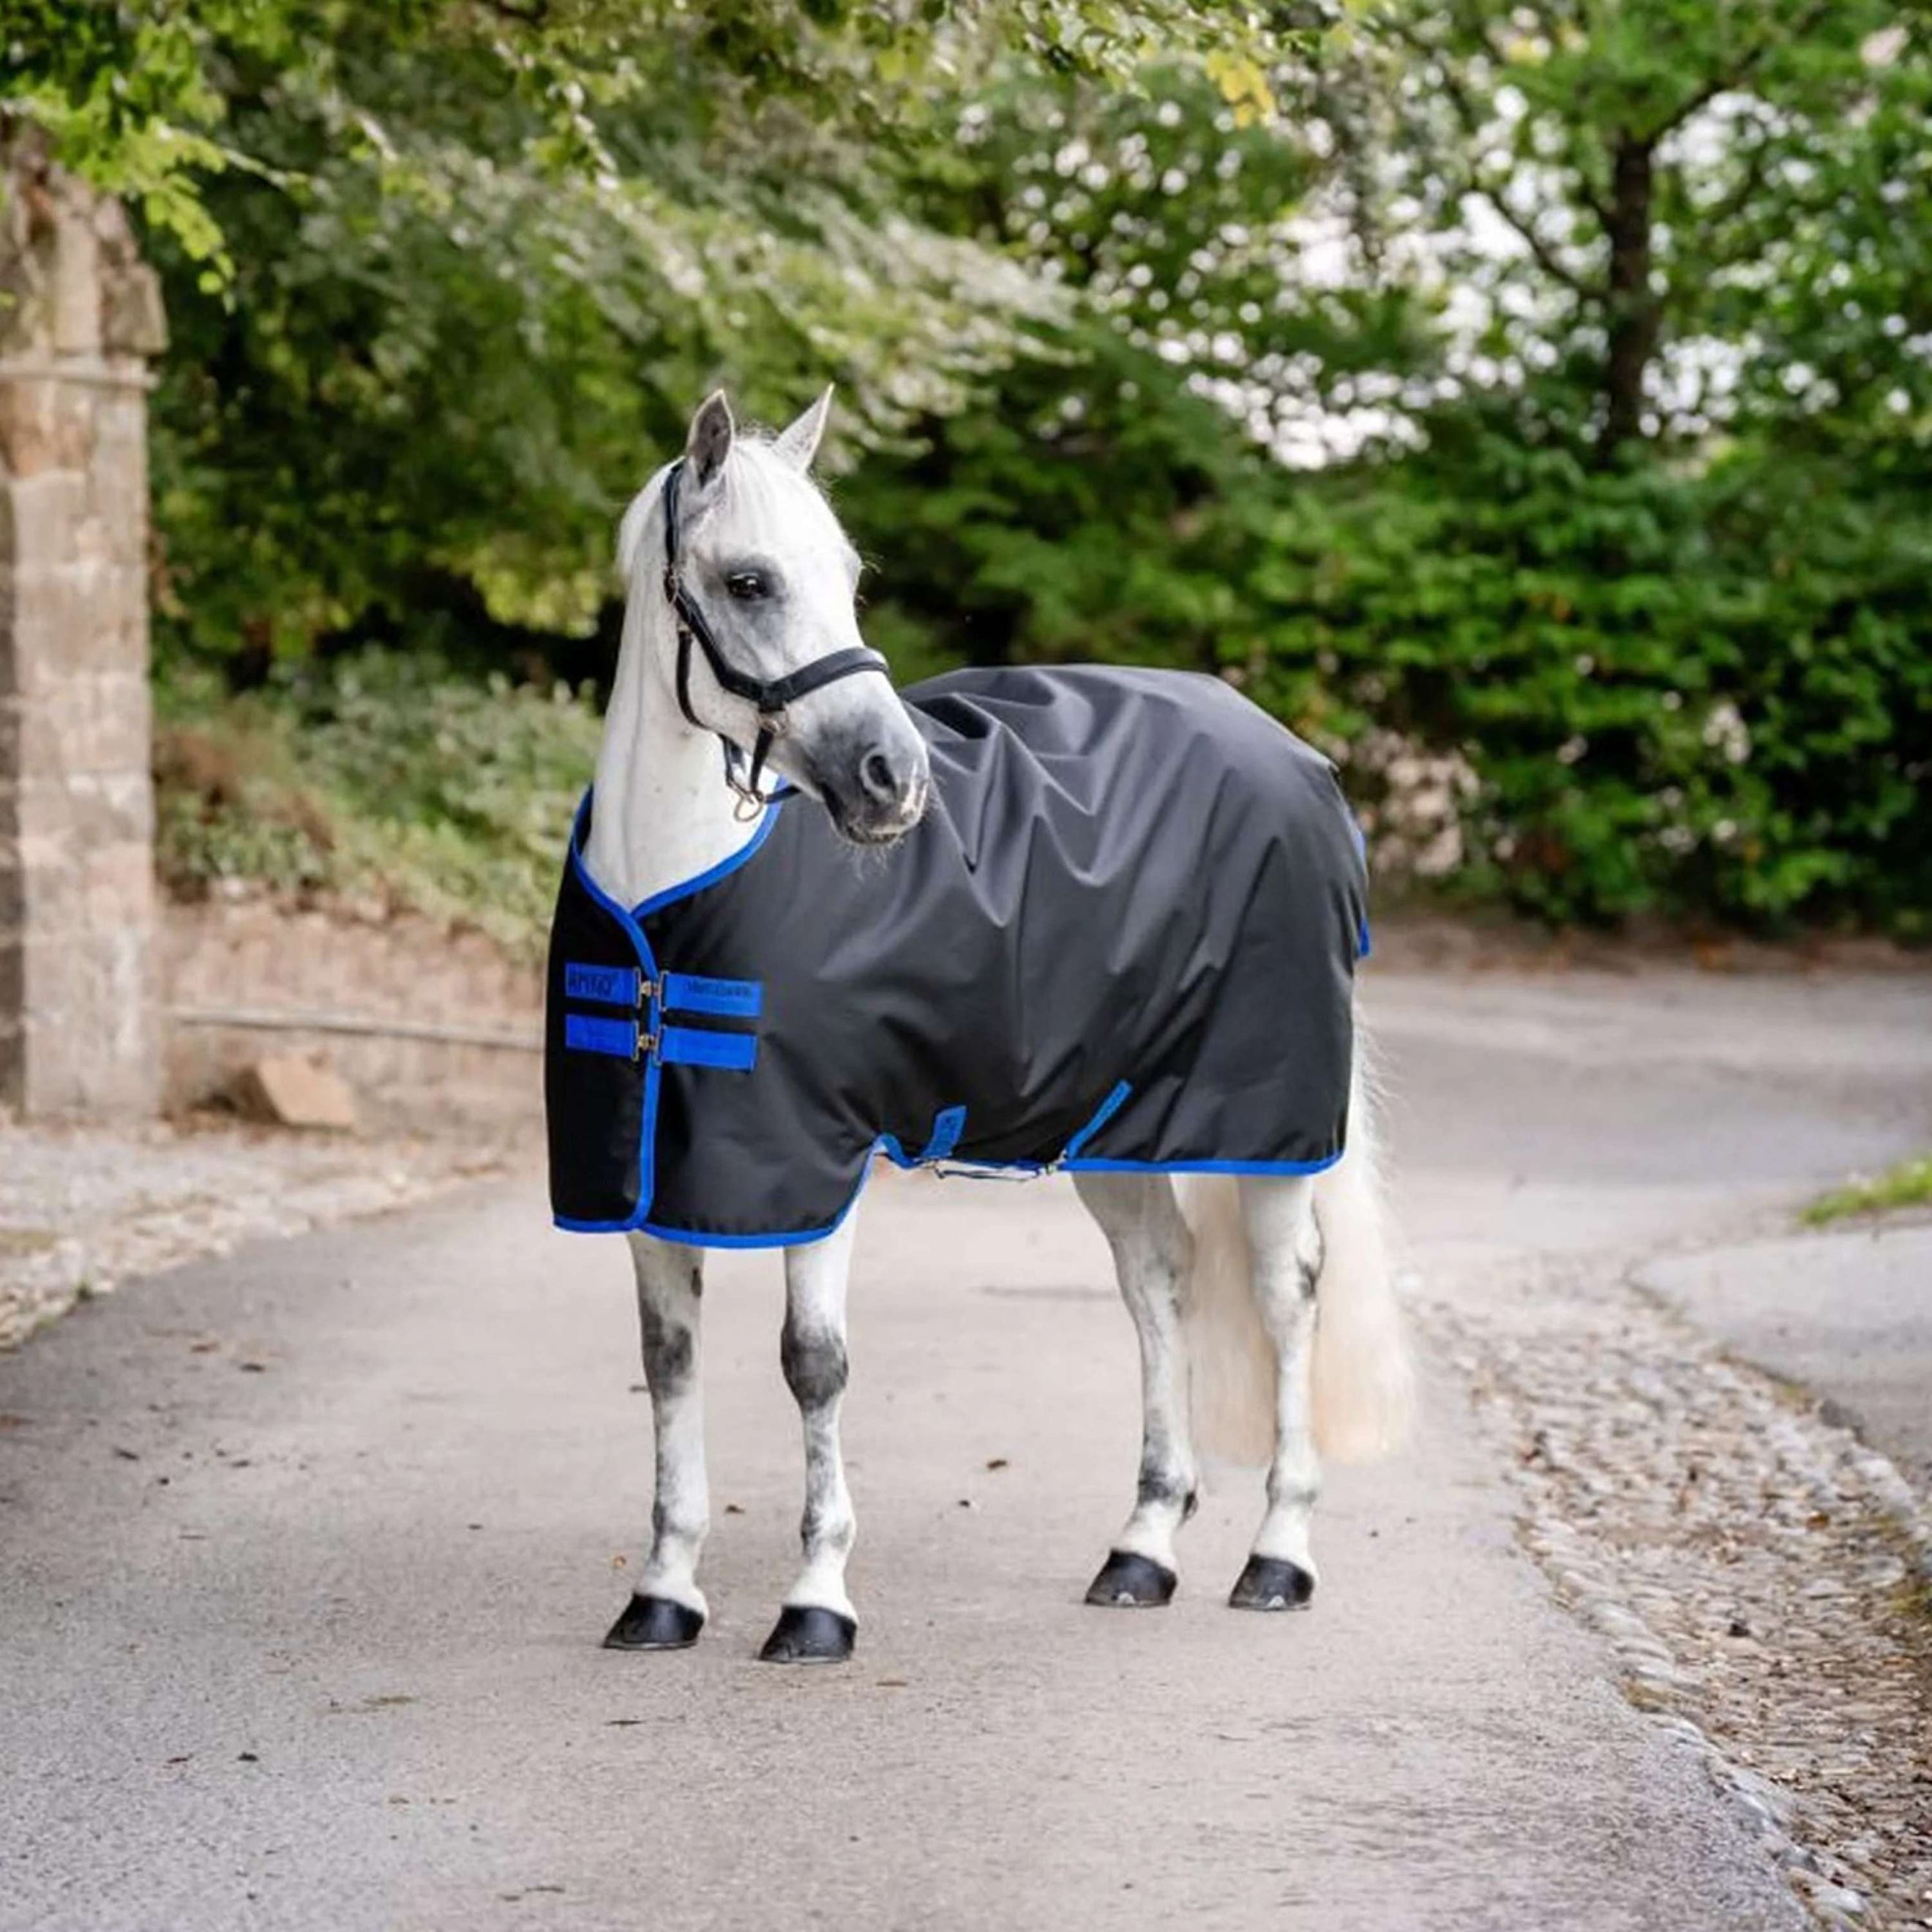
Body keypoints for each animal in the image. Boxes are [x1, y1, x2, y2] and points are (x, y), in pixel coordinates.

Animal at [561, 386, 1412, 1665]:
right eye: (750, 581)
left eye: (850, 574)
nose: (893, 779)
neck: (672, 907)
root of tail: (1298, 758)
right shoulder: (653, 1177)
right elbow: (669, 1366)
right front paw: (663, 1592)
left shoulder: (820, 1166)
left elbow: (813, 1365)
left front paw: (816, 1602)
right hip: (1118, 1128)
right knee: (1158, 1283)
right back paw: (1142, 1549)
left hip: (1268, 1130)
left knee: (1285, 1295)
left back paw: (1278, 1555)